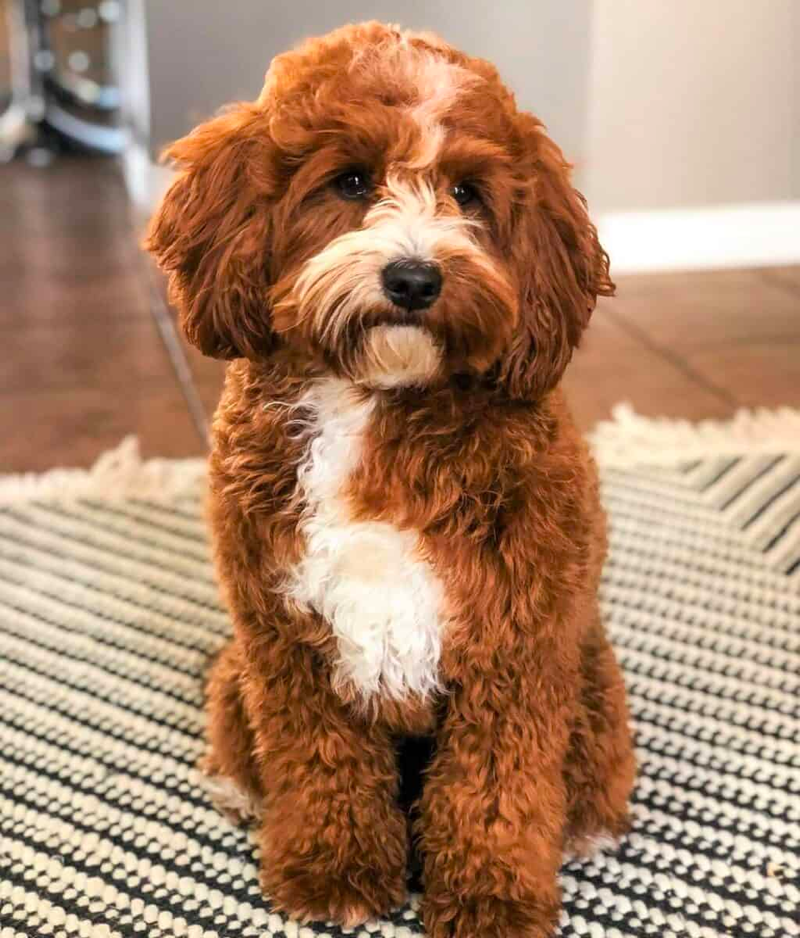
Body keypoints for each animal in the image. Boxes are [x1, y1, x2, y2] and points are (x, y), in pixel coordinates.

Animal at [147, 22, 636, 936]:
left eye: (469, 193)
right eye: (350, 180)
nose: (415, 278)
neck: (377, 400)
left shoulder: (515, 646)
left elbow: (494, 788)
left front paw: (491, 899)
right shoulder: (286, 640)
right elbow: (323, 761)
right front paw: (331, 871)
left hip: (589, 678)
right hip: (237, 674)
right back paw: (237, 788)